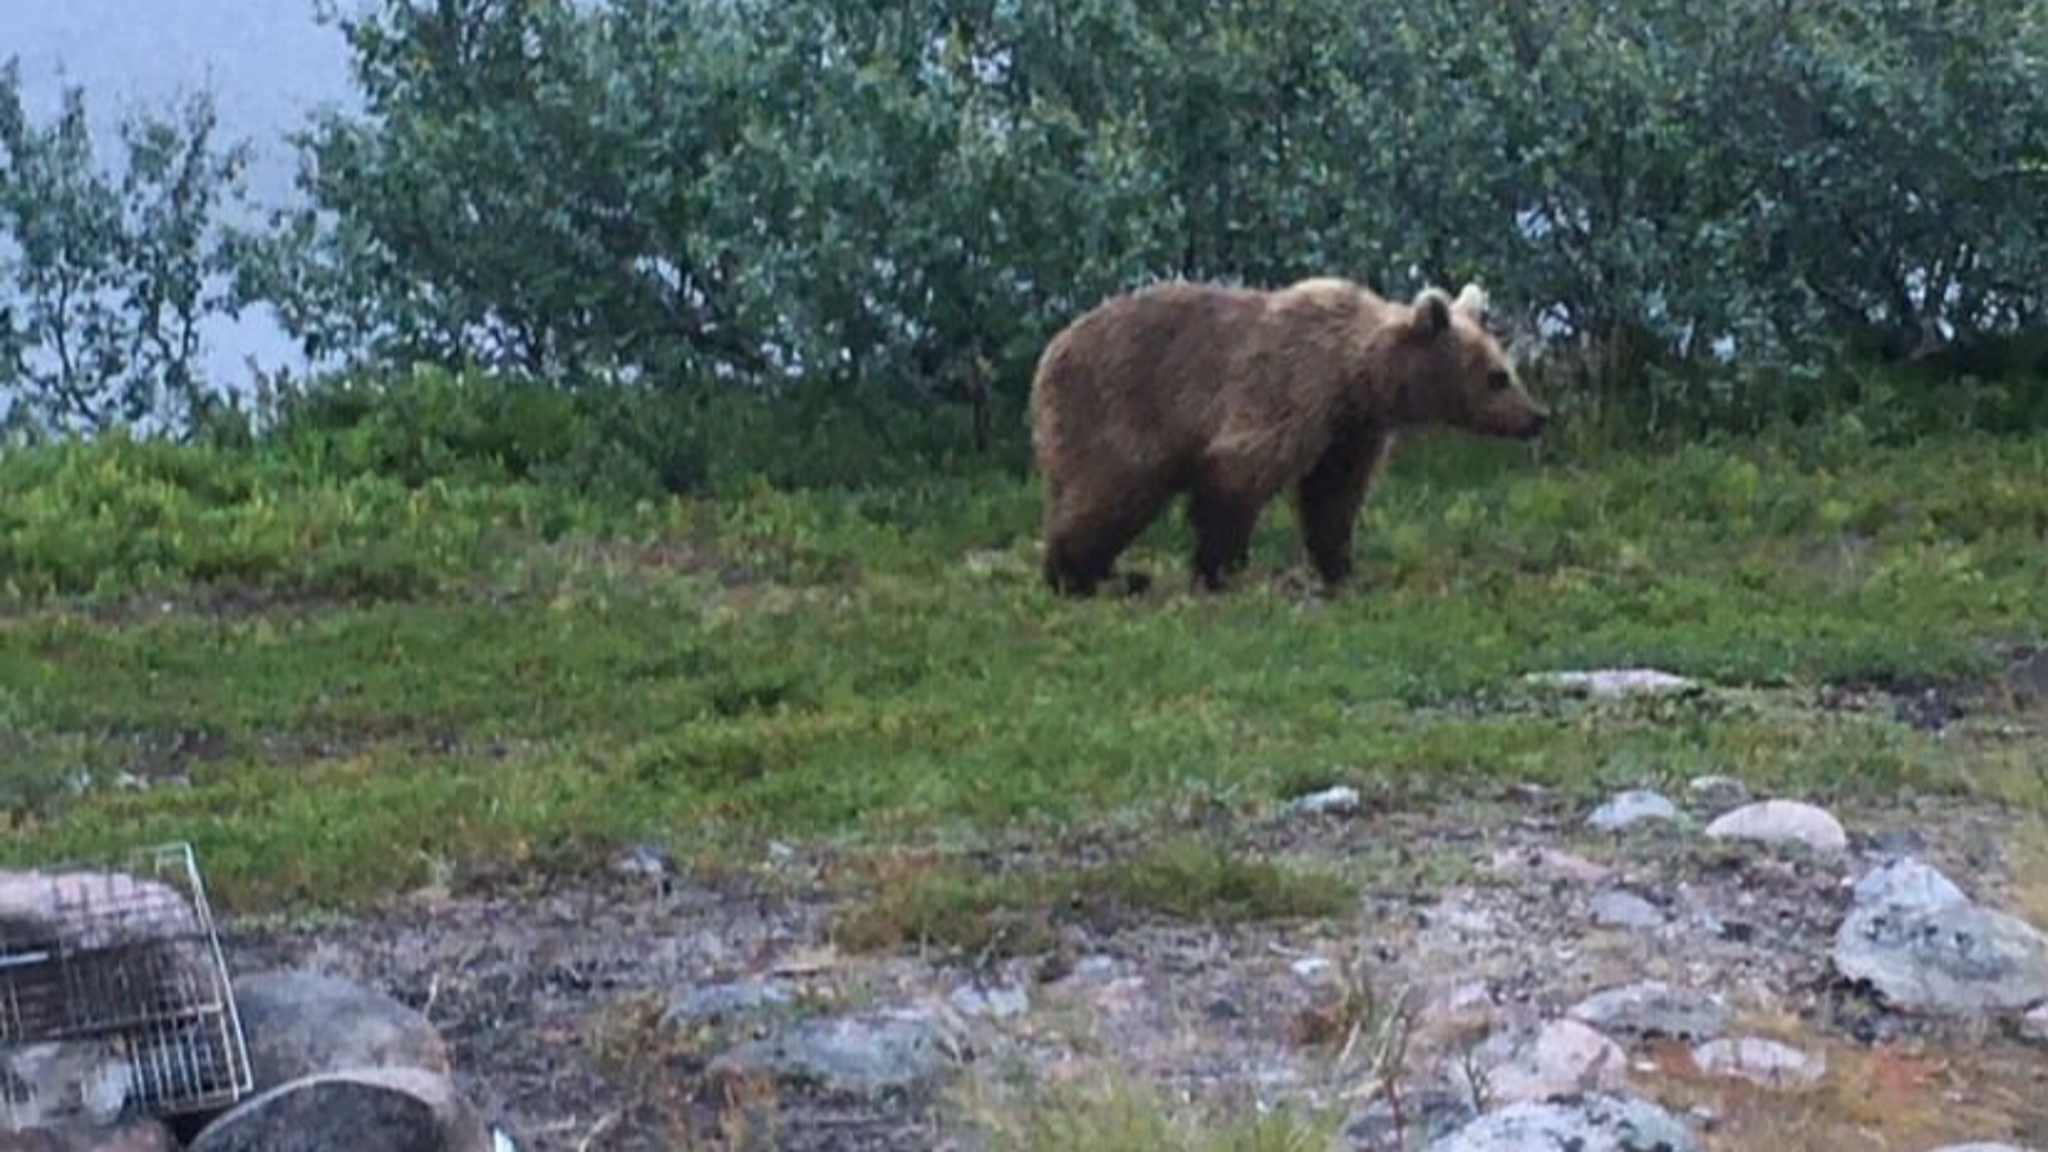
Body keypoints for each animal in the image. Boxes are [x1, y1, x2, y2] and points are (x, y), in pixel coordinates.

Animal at [1029, 277, 1549, 596]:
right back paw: (1076, 575)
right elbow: (1237, 476)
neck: (1357, 376)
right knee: (1110, 492)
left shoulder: (1350, 430)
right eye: (1498, 376)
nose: (1538, 416)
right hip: (1116, 409)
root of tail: (1048, 355)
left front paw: (1341, 568)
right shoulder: (1288, 390)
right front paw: (1220, 569)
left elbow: (1332, 497)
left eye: (1508, 366)